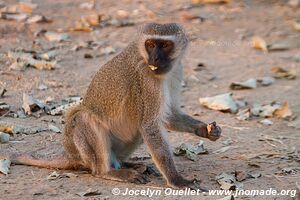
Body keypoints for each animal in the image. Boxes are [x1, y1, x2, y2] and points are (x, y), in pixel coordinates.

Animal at [5, 22, 221, 188]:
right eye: (151, 44)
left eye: (165, 45)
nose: (155, 58)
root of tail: (71, 154)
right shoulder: (146, 79)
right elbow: (150, 125)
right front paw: (176, 180)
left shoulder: (176, 70)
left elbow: (168, 116)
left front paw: (206, 130)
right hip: (84, 151)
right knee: (83, 118)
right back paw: (107, 171)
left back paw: (129, 165)